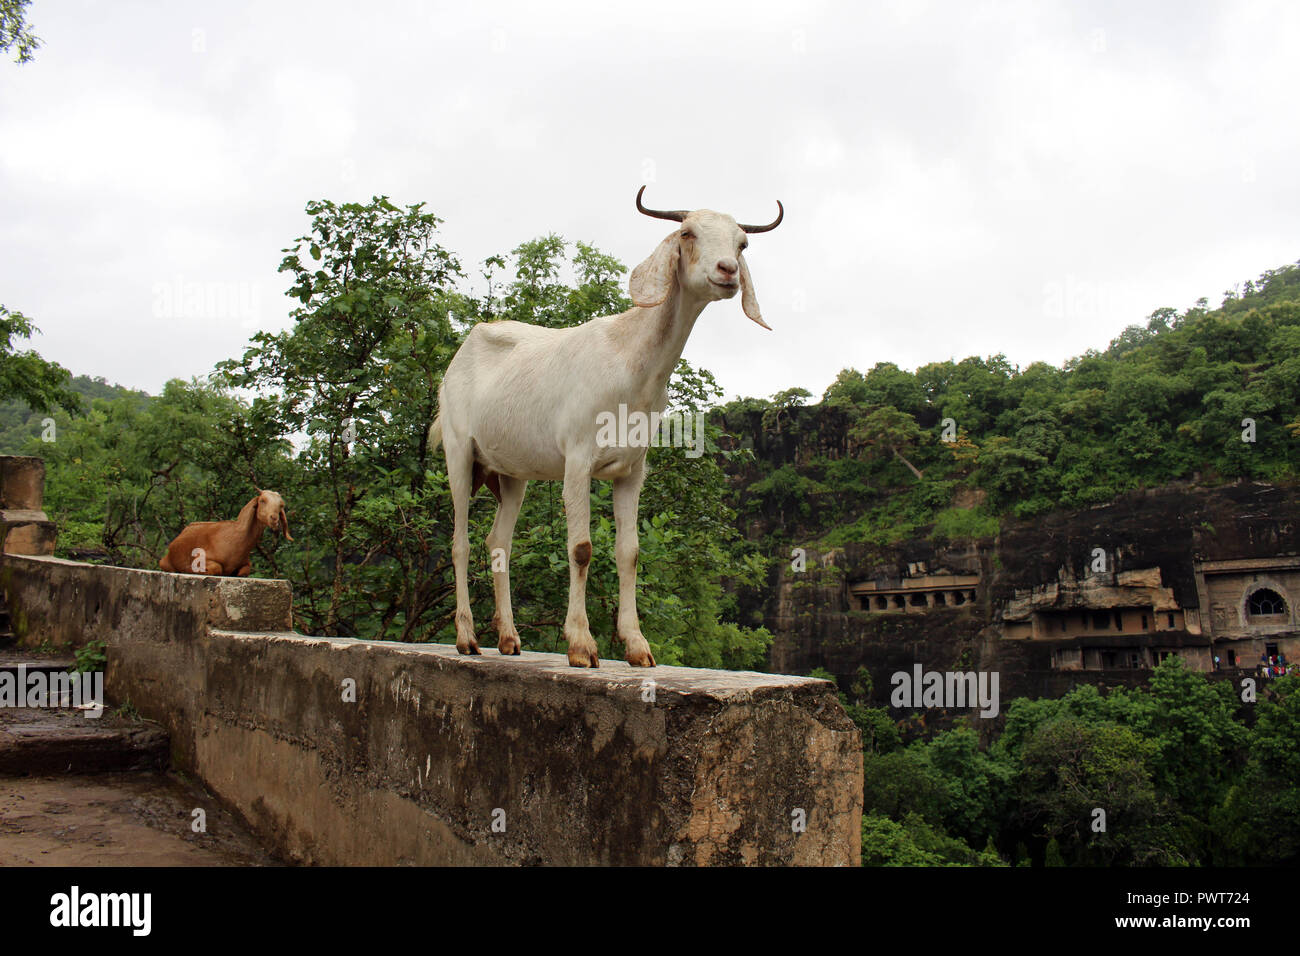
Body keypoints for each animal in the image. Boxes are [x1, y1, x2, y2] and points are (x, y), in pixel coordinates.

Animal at [157, 494, 292, 574]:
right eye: (262, 500)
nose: (274, 518)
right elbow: (217, 567)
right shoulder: (201, 558)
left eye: (281, 505)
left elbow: (245, 570)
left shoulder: (245, 563)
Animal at [431, 184, 785, 665]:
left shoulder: (632, 469)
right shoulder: (577, 460)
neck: (630, 360)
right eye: (688, 233)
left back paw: (508, 638)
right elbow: (581, 549)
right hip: (458, 450)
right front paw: (581, 645)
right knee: (460, 542)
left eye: (742, 243)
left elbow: (630, 551)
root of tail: (460, 355)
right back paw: (467, 638)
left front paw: (637, 646)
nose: (727, 271)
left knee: (498, 541)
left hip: (512, 473)